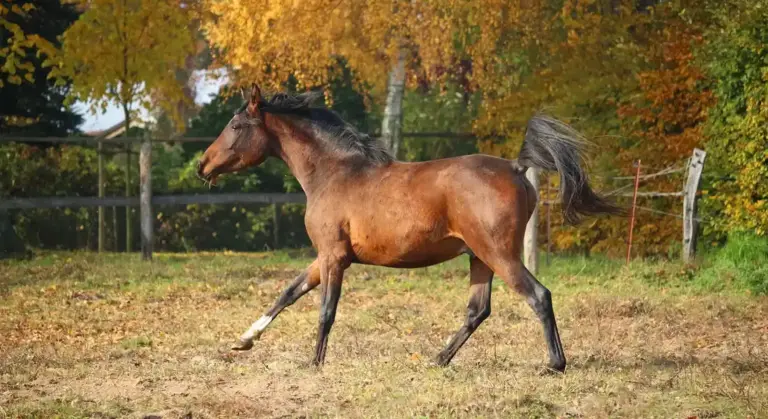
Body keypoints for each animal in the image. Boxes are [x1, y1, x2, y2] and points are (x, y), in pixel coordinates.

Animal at [197, 84, 621, 372]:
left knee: (538, 296)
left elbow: (325, 311)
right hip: (479, 257)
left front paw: (314, 363)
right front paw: (243, 341)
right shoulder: (326, 257)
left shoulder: (333, 257)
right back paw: (438, 358)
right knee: (477, 311)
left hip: (500, 254)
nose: (203, 165)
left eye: (235, 124)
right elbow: (288, 293)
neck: (334, 173)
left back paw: (554, 364)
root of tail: (517, 168)